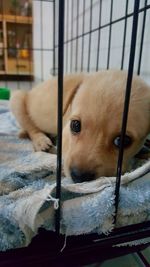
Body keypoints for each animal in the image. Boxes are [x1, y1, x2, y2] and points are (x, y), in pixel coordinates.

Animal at [10, 70, 150, 184]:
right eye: (75, 125)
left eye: (122, 141)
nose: (79, 176)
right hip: (17, 99)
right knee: (30, 127)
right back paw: (41, 141)